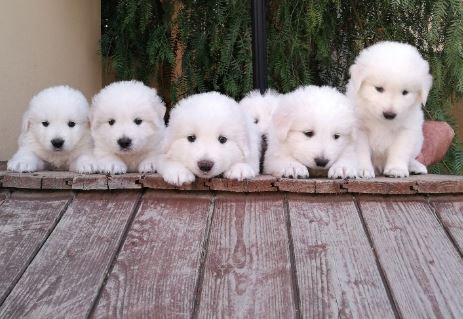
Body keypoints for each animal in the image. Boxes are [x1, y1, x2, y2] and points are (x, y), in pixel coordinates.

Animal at [350, 40, 434, 178]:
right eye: (379, 89)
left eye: (405, 92)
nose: (389, 114)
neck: (382, 122)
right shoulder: (359, 128)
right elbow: (361, 151)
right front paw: (363, 169)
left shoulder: (406, 129)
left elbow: (399, 151)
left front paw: (396, 169)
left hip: (418, 140)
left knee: (410, 158)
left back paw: (416, 167)